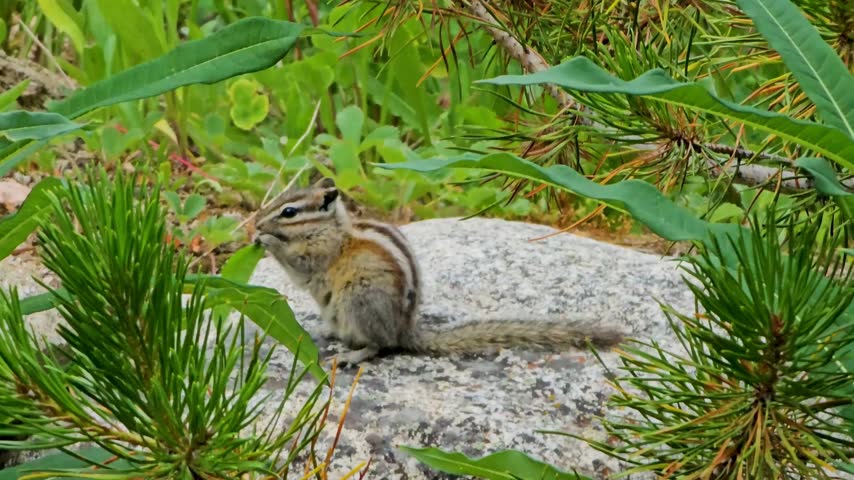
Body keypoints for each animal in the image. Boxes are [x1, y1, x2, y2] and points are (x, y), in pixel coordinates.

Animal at [253, 177, 624, 365]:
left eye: (289, 212)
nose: (256, 222)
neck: (334, 227)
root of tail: (405, 331)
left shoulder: (320, 254)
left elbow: (300, 266)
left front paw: (266, 240)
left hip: (359, 298)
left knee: (380, 346)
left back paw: (353, 355)